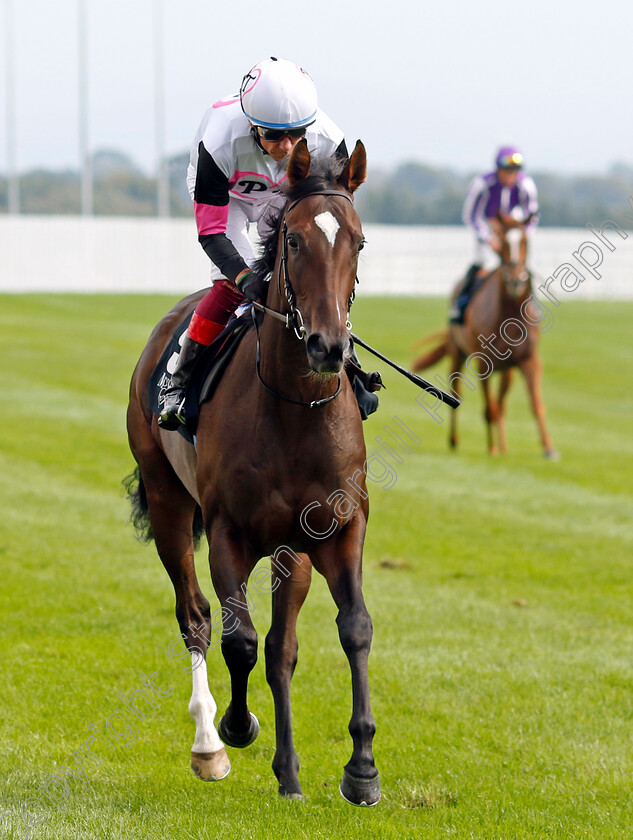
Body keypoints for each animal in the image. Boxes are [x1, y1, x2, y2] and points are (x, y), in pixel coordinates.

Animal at [126, 139, 378, 808]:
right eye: (293, 239)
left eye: (358, 241)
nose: (328, 347)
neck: (293, 407)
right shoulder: (227, 532)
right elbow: (235, 639)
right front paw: (239, 727)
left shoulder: (335, 528)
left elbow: (351, 629)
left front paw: (362, 768)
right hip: (167, 499)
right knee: (195, 615)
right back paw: (210, 743)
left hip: (291, 549)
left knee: (280, 646)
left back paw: (288, 772)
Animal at [412, 213, 556, 456]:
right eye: (503, 242)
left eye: (524, 241)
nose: (515, 280)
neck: (509, 315)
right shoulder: (482, 362)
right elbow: (489, 408)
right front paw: (492, 448)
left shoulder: (529, 359)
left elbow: (536, 404)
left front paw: (549, 448)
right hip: (457, 351)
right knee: (457, 391)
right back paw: (455, 439)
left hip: (507, 370)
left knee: (501, 404)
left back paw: (504, 445)